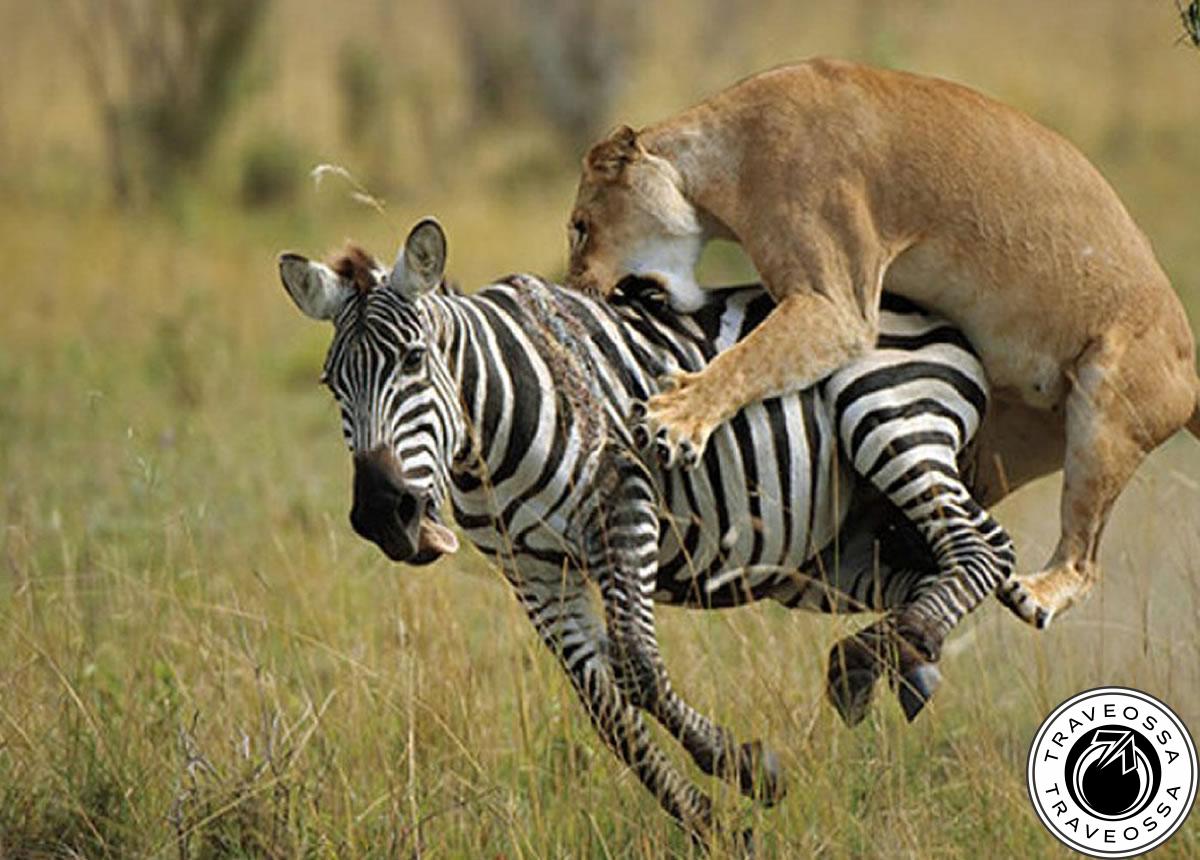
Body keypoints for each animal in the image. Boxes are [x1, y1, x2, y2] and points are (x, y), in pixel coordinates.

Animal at [277, 218, 1026, 842]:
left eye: (411, 360)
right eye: (331, 385)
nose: (382, 513)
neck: (492, 418)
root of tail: (927, 307)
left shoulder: (625, 501)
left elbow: (637, 669)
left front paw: (750, 771)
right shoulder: (534, 571)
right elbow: (606, 709)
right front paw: (710, 824)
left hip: (887, 414)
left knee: (982, 549)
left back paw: (878, 657)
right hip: (829, 553)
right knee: (934, 569)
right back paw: (895, 664)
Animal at [564, 58, 1200, 627]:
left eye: (579, 228)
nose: (575, 288)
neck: (716, 164)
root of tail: (1192, 370)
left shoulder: (836, 305)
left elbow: (746, 359)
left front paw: (673, 419)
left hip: (1107, 412)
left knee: (1084, 558)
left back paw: (1036, 594)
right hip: (1007, 440)